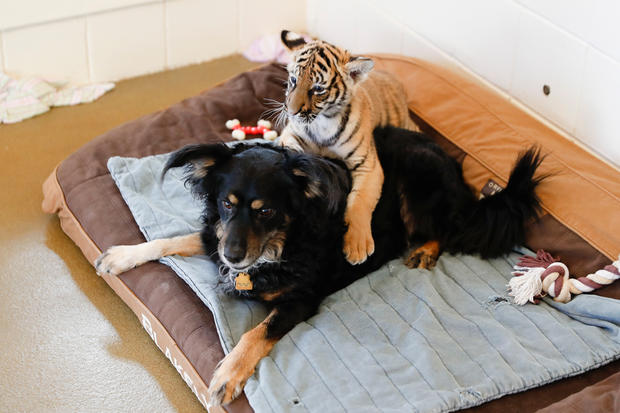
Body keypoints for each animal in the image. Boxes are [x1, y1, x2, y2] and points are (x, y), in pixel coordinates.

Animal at [94, 126, 544, 406]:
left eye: (266, 211)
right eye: (226, 203)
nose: (234, 258)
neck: (280, 244)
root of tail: (458, 172)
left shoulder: (301, 300)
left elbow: (256, 333)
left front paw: (226, 377)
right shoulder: (216, 238)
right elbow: (176, 239)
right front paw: (120, 255)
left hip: (420, 180)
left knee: (447, 229)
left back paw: (424, 250)